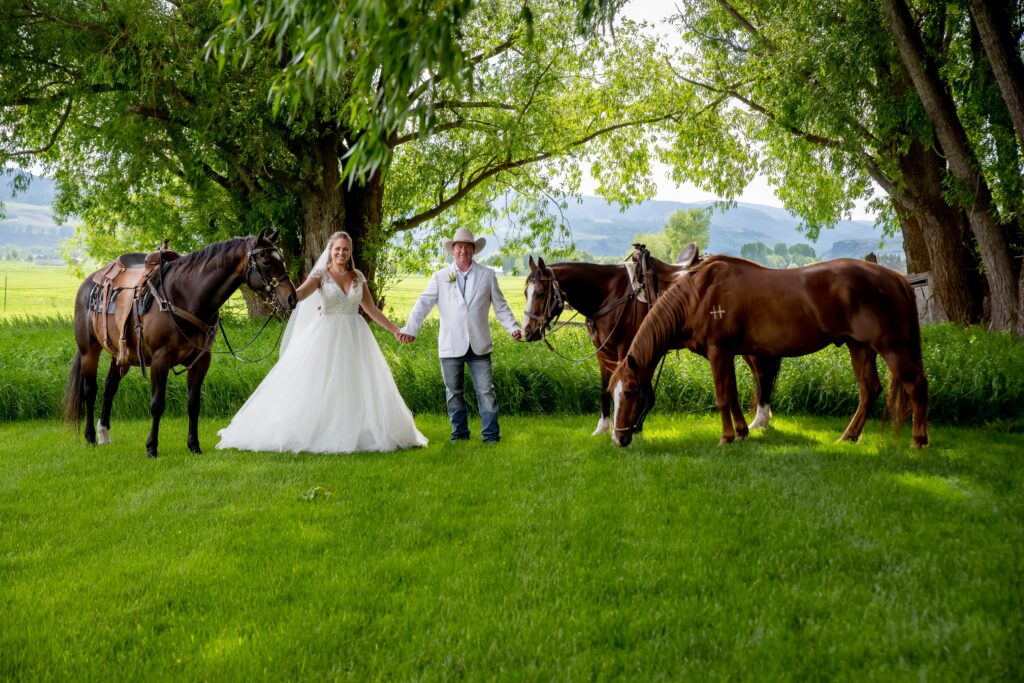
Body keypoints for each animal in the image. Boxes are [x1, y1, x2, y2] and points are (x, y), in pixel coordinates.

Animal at [62, 231, 296, 458]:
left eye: (281, 259)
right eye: (266, 261)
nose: (291, 297)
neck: (186, 296)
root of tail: (89, 282)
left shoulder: (201, 361)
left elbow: (193, 404)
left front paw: (194, 445)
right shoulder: (160, 359)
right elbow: (157, 404)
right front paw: (152, 447)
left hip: (121, 355)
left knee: (110, 388)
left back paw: (104, 434)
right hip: (89, 351)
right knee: (90, 390)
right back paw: (90, 436)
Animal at [524, 248, 778, 436]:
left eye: (540, 293)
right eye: (526, 292)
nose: (527, 332)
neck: (610, 294)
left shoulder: (626, 349)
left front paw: (631, 425)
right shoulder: (603, 351)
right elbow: (605, 388)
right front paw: (603, 428)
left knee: (762, 374)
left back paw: (760, 420)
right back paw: (761, 420)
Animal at [606, 255, 929, 448]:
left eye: (631, 393)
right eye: (613, 393)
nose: (619, 438)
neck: (699, 294)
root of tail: (895, 277)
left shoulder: (718, 352)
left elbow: (723, 397)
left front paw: (726, 437)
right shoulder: (729, 353)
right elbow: (733, 395)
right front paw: (741, 432)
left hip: (890, 347)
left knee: (915, 384)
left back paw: (918, 440)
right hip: (859, 347)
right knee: (868, 389)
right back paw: (848, 436)